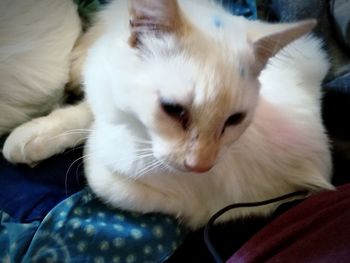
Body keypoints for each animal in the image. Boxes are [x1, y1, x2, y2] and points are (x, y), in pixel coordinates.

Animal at [2, 0, 334, 230]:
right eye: (173, 109)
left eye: (234, 120)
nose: (200, 166)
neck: (137, 131)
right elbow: (85, 115)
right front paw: (35, 136)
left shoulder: (201, 204)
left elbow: (96, 168)